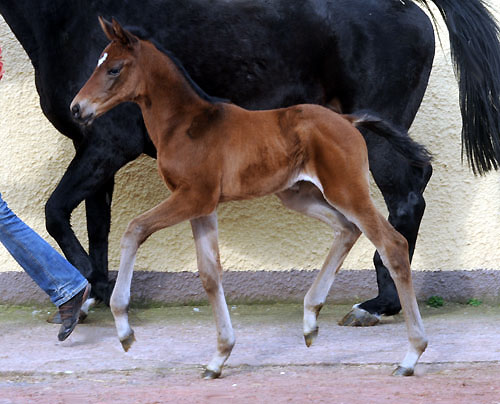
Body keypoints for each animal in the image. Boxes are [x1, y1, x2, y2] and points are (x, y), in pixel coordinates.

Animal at [72, 18, 428, 378]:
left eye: (114, 68)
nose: (77, 108)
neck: (185, 124)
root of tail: (347, 119)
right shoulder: (203, 205)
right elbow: (209, 274)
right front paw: (219, 357)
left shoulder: (192, 197)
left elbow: (134, 229)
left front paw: (124, 330)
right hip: (298, 195)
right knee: (347, 229)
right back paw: (310, 320)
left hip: (346, 190)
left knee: (392, 244)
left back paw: (411, 354)